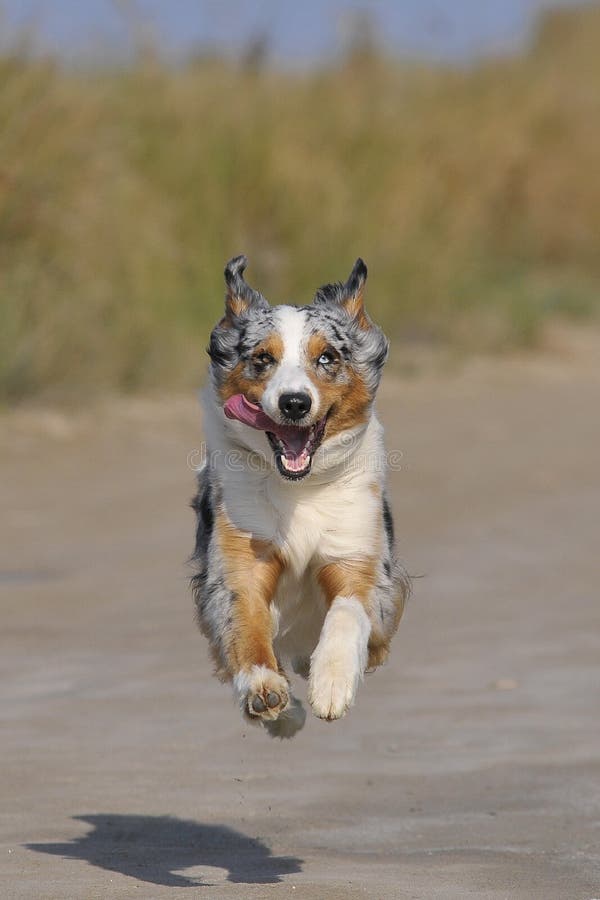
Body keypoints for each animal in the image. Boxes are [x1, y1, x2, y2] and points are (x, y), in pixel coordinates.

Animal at [192, 255, 408, 740]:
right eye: (262, 359)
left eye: (326, 357)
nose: (294, 403)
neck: (299, 491)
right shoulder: (240, 560)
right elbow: (246, 627)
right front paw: (266, 691)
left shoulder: (357, 554)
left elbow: (347, 611)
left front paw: (332, 684)